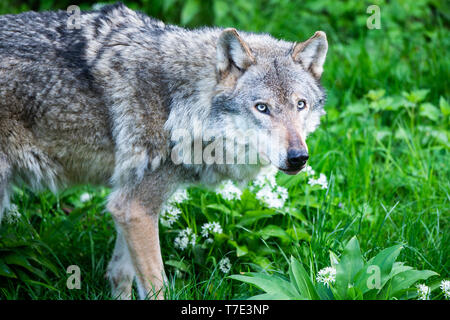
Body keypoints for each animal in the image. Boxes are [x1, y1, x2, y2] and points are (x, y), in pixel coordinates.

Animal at [0, 2, 326, 298]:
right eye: (262, 108)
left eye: (300, 105)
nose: (298, 157)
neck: (178, 102)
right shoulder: (136, 208)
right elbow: (157, 287)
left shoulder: (126, 206)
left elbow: (119, 274)